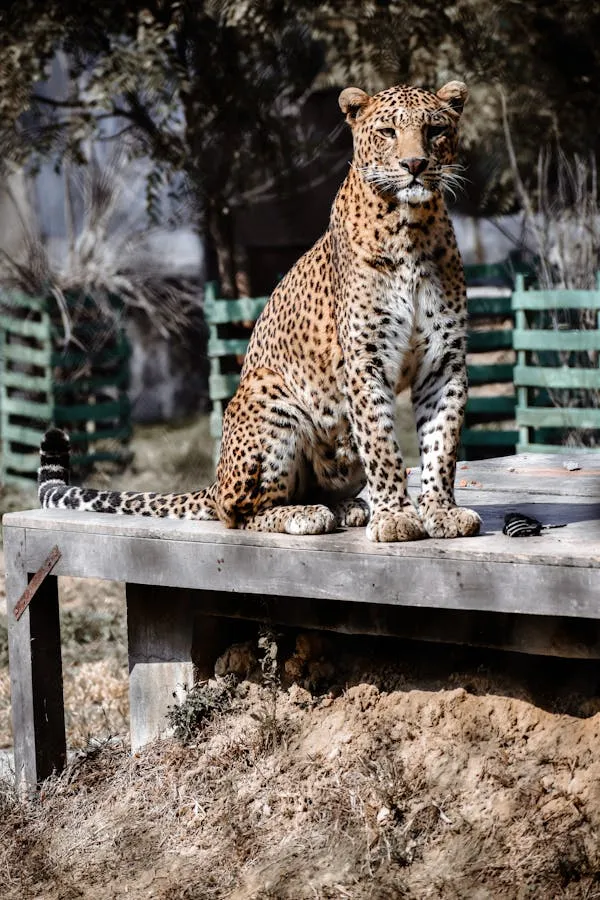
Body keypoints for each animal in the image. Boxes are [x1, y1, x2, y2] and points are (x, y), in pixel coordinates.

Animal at [38, 79, 481, 543]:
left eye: (434, 130)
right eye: (387, 133)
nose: (414, 163)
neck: (411, 226)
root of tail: (215, 480)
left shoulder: (444, 360)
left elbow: (441, 444)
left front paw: (441, 510)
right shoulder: (365, 360)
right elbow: (382, 445)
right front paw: (396, 516)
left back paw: (347, 508)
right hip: (268, 397)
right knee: (237, 512)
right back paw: (305, 514)